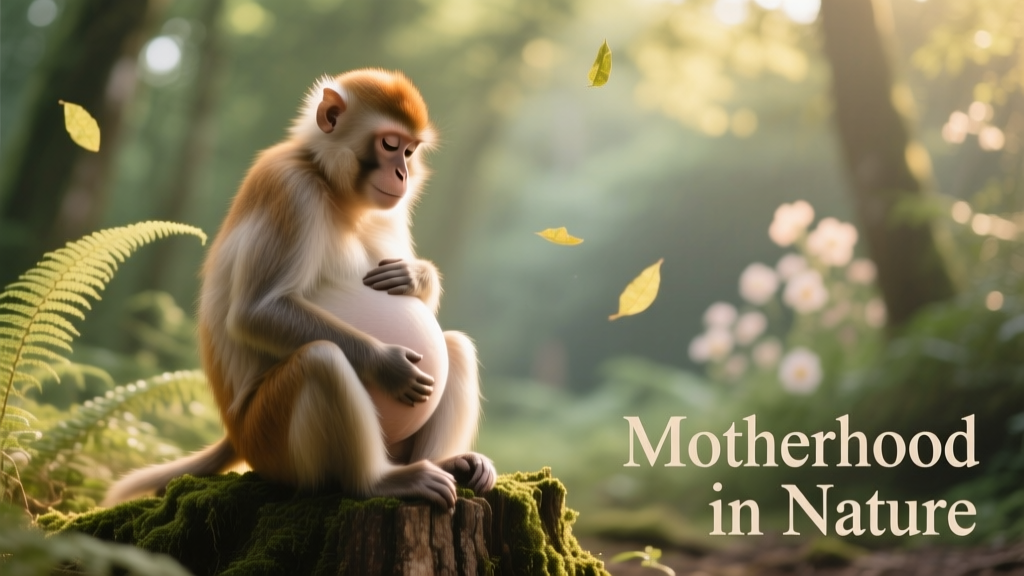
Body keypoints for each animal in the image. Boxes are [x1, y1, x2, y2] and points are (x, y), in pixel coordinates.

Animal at [103, 69, 496, 509]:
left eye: (410, 152)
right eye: (390, 144)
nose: (403, 175)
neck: (334, 187)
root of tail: (235, 434)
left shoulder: (391, 212)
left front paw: (415, 275)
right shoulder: (292, 189)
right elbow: (255, 313)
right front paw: (387, 365)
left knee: (454, 345)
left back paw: (447, 464)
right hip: (269, 438)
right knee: (321, 360)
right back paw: (378, 482)